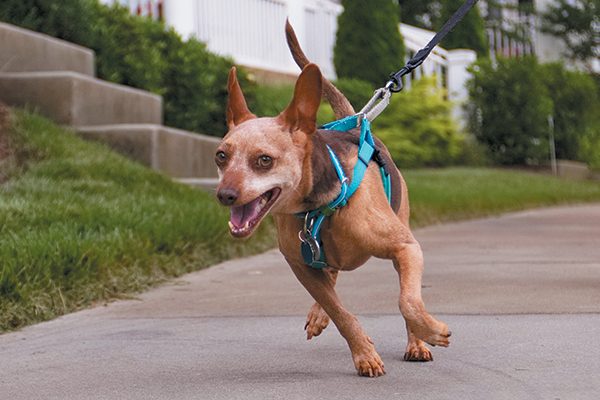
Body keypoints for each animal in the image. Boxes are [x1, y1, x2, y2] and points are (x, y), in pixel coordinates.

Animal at [214, 22, 450, 378]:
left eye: (264, 160)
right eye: (221, 156)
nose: (224, 195)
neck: (319, 209)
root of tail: (357, 120)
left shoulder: (406, 248)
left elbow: (408, 301)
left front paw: (430, 331)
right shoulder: (300, 265)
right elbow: (338, 310)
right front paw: (363, 352)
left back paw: (416, 342)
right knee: (332, 278)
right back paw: (319, 313)